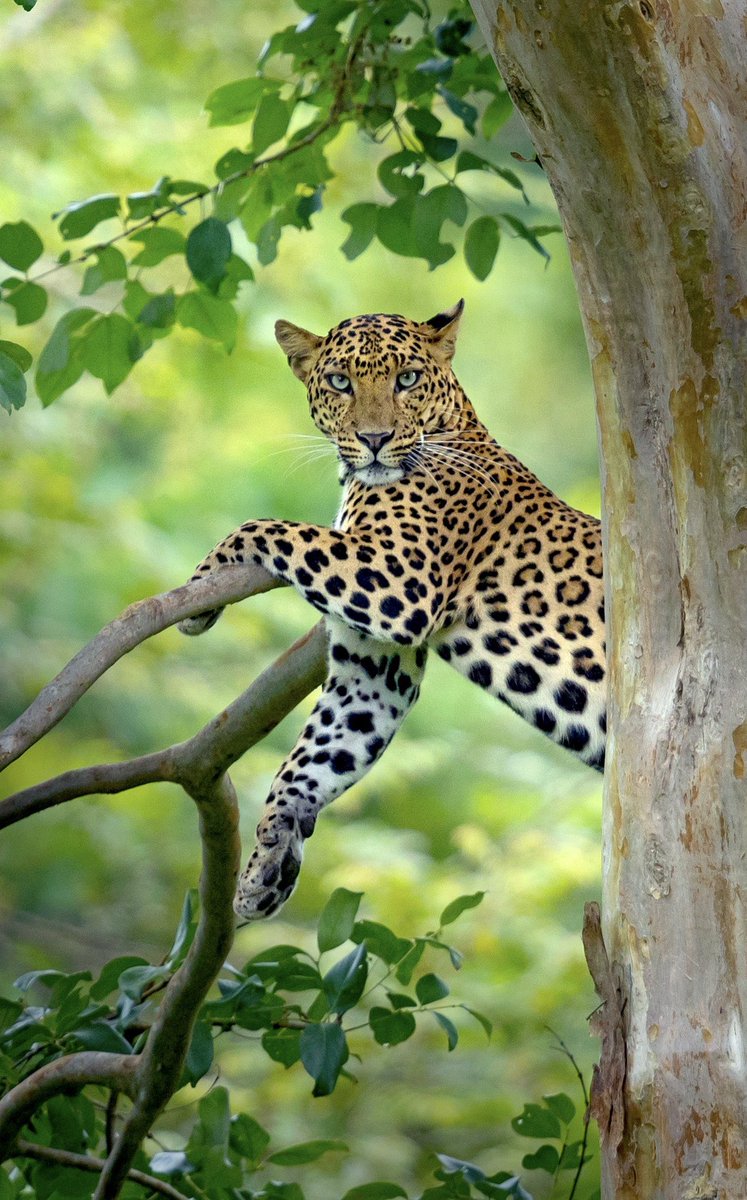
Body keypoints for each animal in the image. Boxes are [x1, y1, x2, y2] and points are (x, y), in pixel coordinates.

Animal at [179, 301, 606, 921]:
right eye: (340, 382)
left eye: (407, 379)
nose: (374, 438)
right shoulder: (374, 668)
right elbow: (316, 754)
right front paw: (266, 865)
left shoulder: (400, 580)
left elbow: (271, 527)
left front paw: (199, 589)